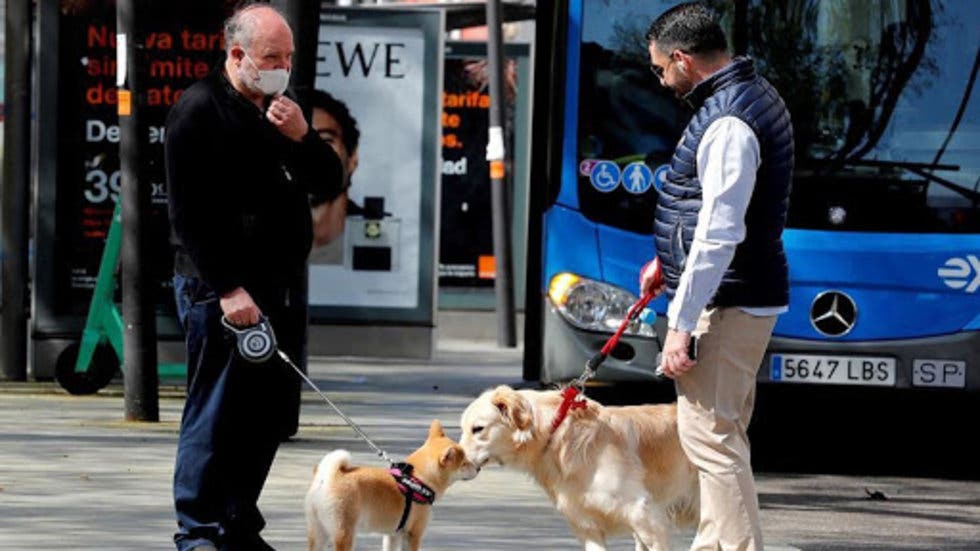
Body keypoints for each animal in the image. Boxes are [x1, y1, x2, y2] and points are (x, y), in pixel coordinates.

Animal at [302, 420, 478, 548]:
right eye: (464, 463)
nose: (478, 467)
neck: (419, 477)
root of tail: (329, 477)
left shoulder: (392, 535)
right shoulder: (413, 535)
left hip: (317, 532)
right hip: (343, 533)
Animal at [460, 386, 696, 548]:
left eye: (478, 429)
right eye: (463, 428)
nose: (455, 457)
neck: (556, 434)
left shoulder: (645, 515)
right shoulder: (587, 527)